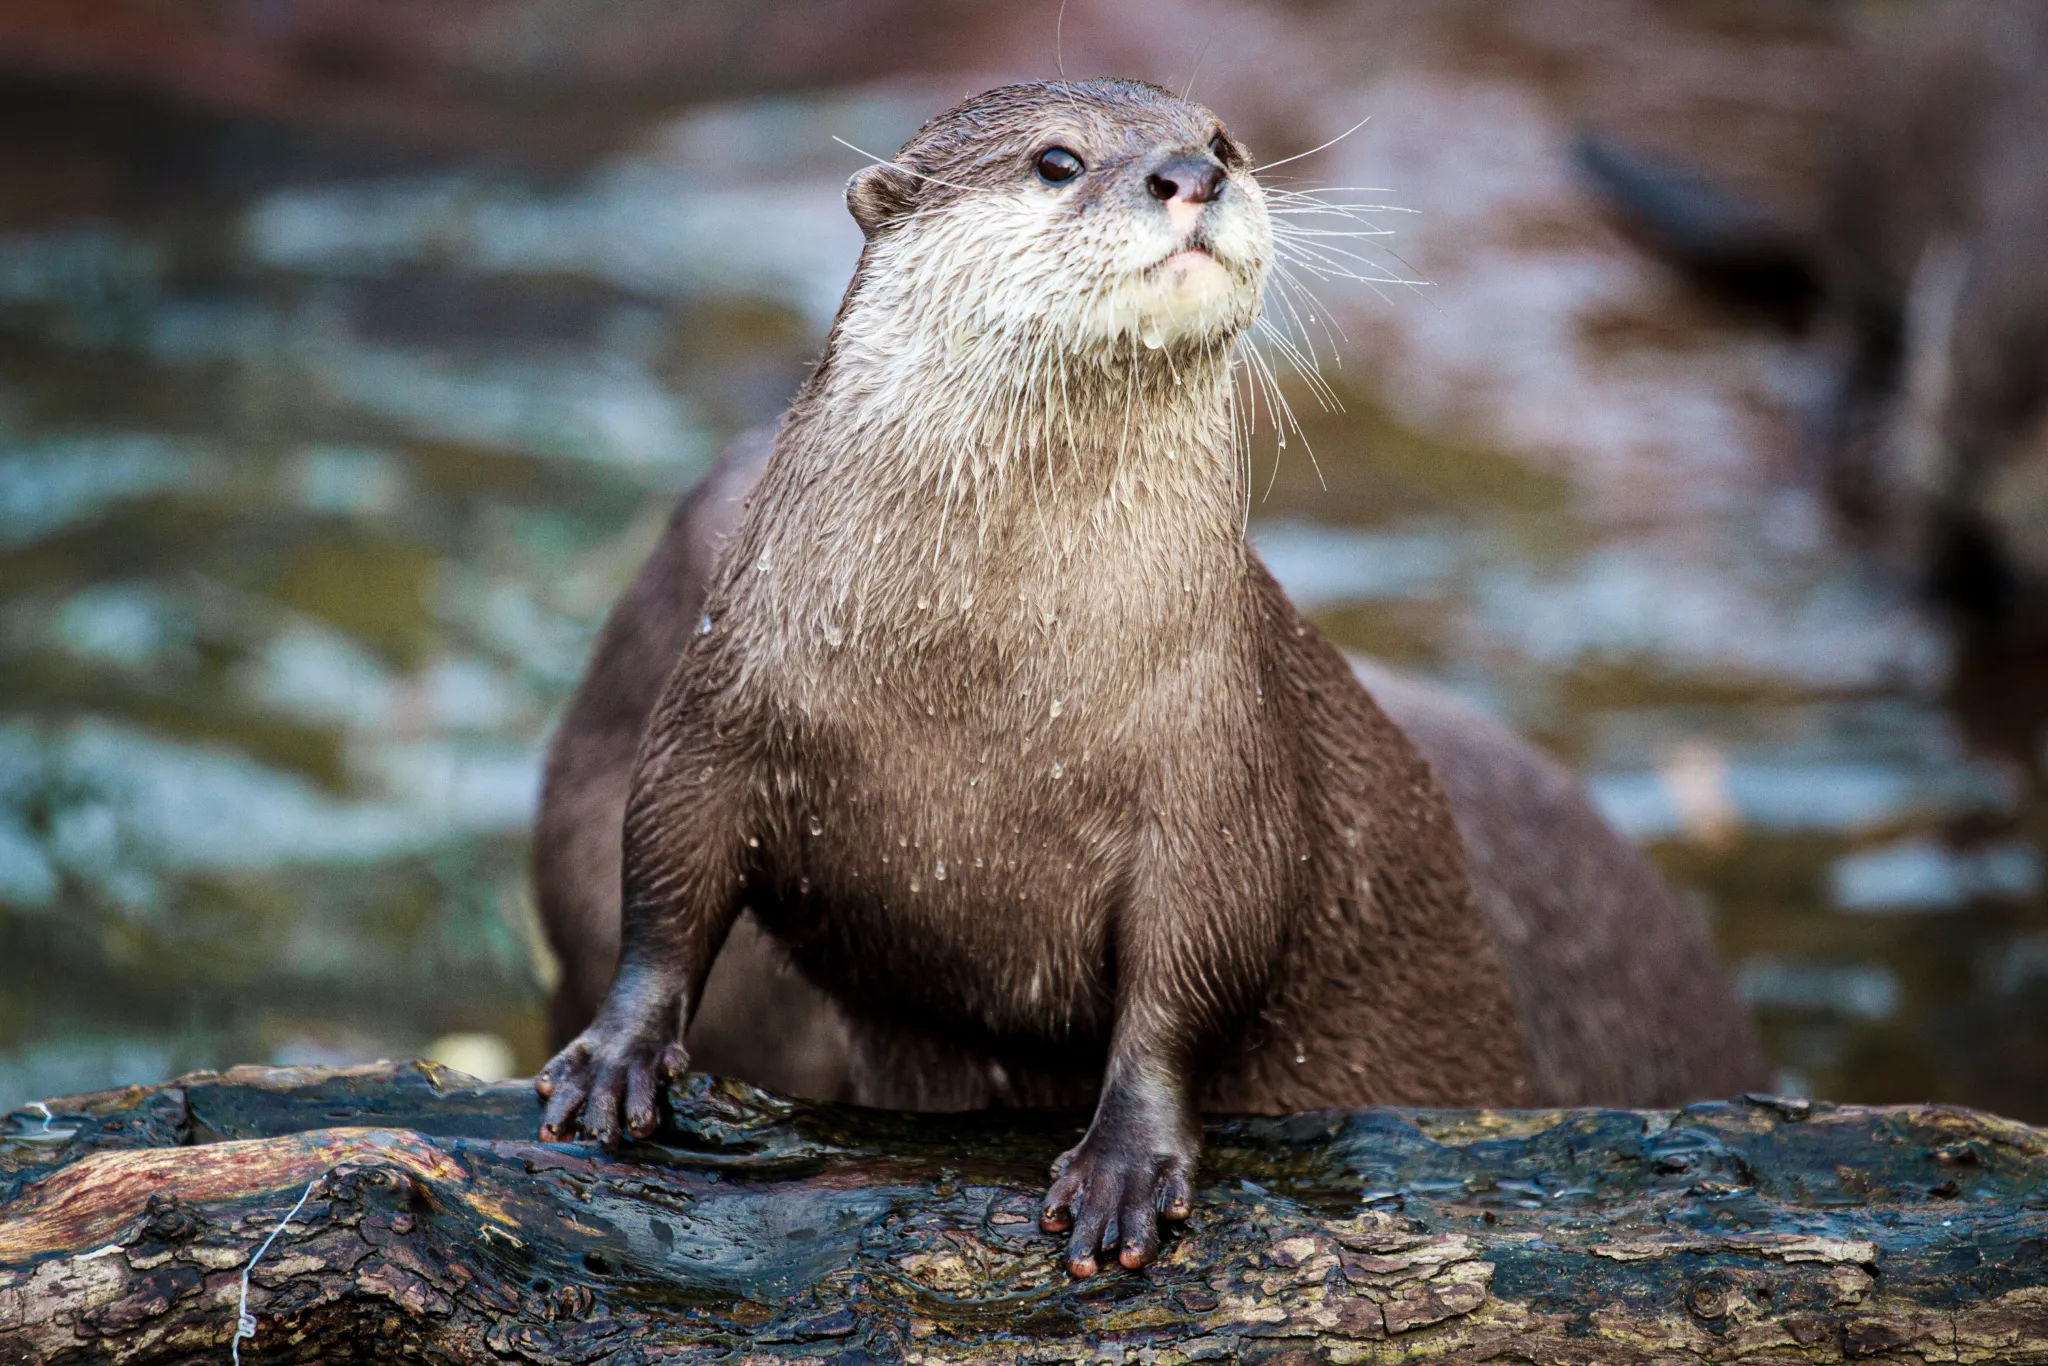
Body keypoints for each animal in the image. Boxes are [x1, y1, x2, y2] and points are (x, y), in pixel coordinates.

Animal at [536, 78, 1766, 1277]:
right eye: (1056, 161)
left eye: (1222, 138)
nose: (1192, 176)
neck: (983, 684)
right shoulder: (726, 686)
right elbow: (665, 874)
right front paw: (612, 1059)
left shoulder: (1219, 757)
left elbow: (1195, 965)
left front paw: (1124, 1166)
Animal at [1579, 0, 2048, 636]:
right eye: (1947, 351)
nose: (1965, 453)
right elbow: (1924, 540)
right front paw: (1920, 613)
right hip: (1863, 225)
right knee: (1834, 362)